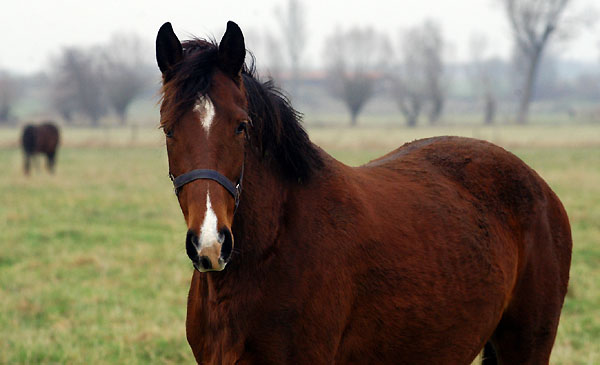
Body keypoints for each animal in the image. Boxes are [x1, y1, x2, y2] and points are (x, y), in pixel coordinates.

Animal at [155, 21, 572, 362]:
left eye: (241, 126)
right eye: (168, 129)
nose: (211, 243)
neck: (272, 248)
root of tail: (541, 189)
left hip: (528, 345)